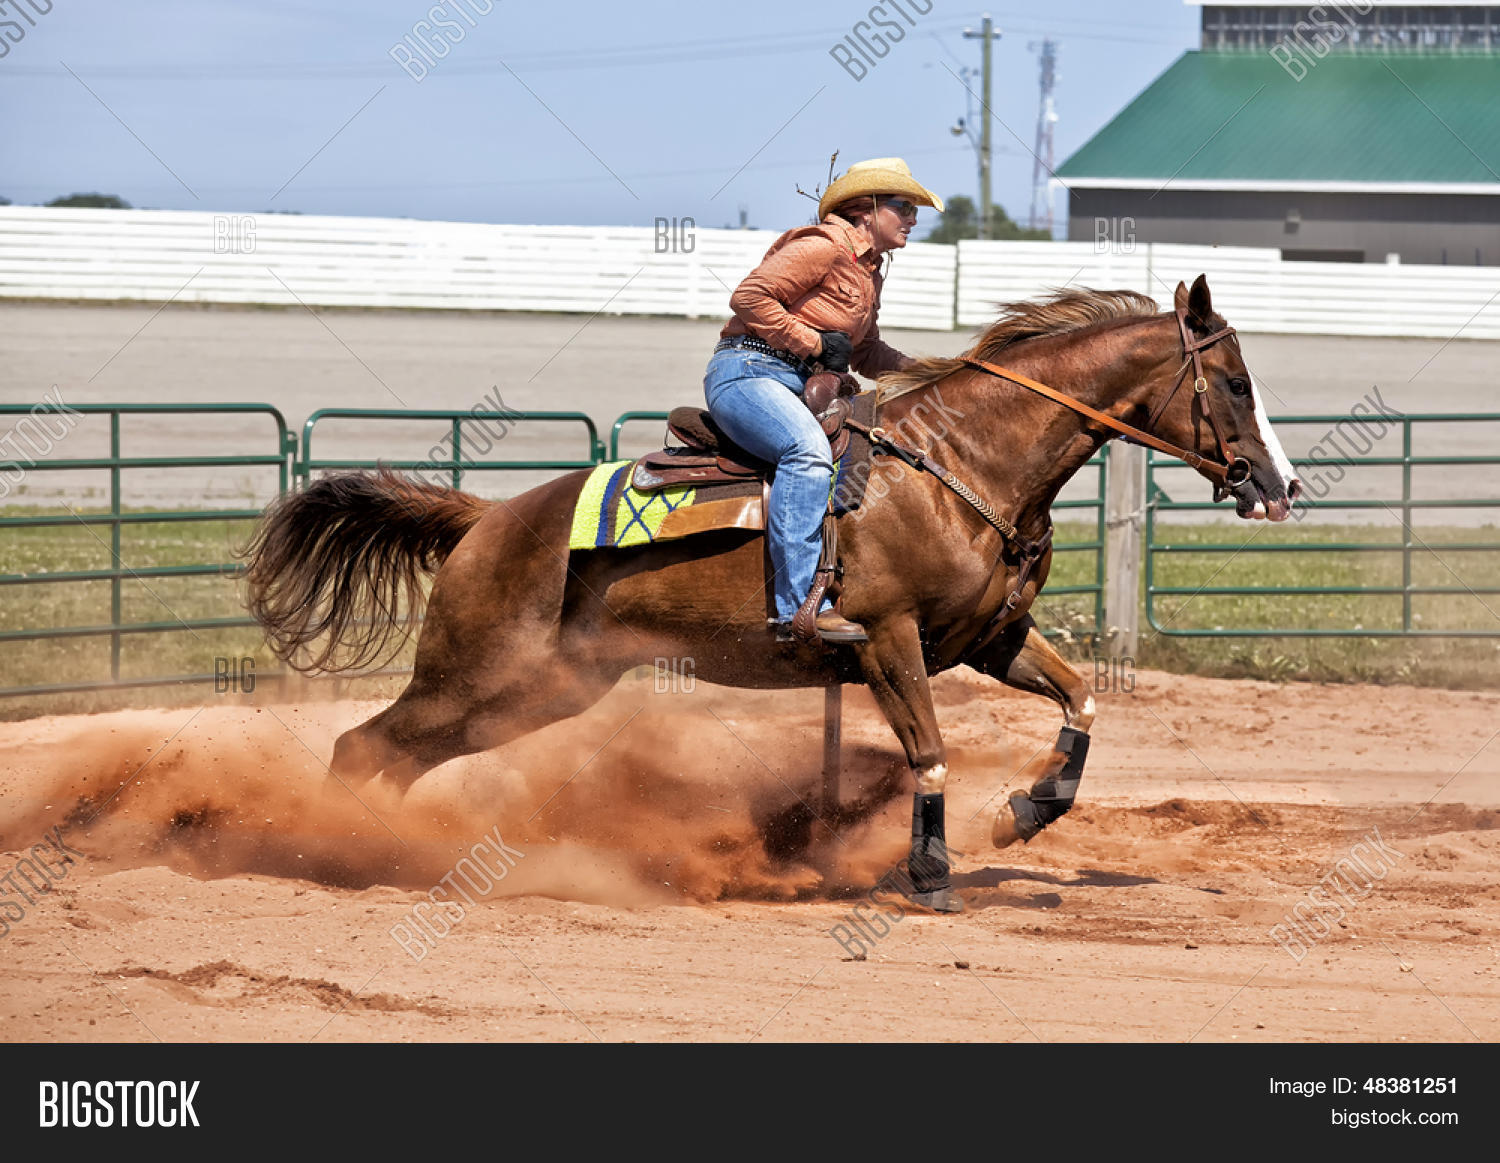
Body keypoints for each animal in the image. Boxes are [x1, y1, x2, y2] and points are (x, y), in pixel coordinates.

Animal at [242, 275, 1301, 913]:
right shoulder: (887, 638)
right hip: (480, 674)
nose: (1281, 485)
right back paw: (328, 851)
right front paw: (929, 872)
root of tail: (486, 518)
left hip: (535, 691)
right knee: (361, 746)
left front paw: (1026, 811)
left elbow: (1079, 699)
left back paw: (383, 849)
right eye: (1237, 383)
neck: (961, 464)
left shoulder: (988, 638)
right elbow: (928, 749)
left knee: (393, 757)